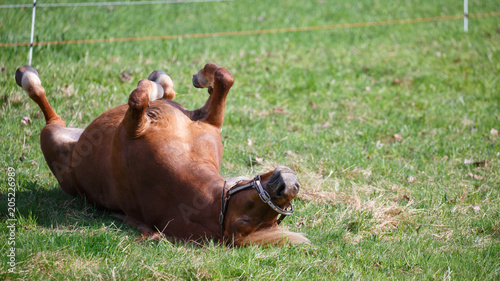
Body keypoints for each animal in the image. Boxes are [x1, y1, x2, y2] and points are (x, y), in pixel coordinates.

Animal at [15, 61, 308, 245]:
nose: (289, 185)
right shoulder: (209, 120)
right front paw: (199, 78)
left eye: (247, 219)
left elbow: (139, 98)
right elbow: (225, 78)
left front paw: (153, 85)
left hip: (50, 139)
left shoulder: (132, 128)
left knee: (46, 108)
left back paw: (26, 75)